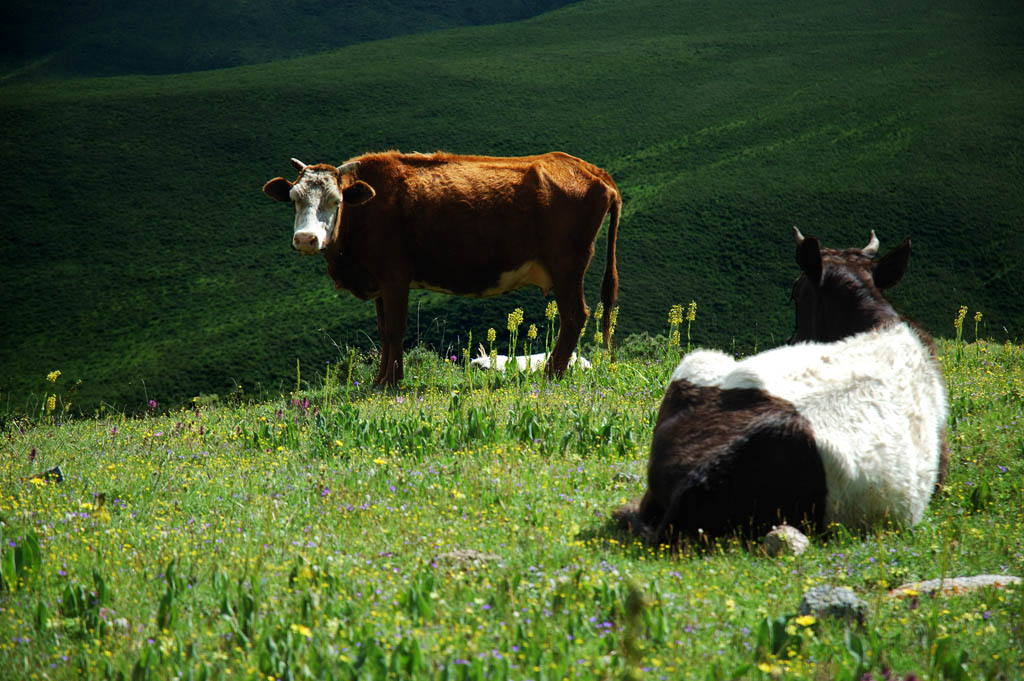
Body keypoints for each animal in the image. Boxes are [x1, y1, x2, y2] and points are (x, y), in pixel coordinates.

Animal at [260, 150, 618, 385]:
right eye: (294, 198)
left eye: (336, 201)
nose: (306, 239)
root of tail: (591, 169)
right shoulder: (379, 281)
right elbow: (383, 331)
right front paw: (379, 379)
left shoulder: (395, 276)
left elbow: (396, 329)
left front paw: (391, 382)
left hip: (567, 265)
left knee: (575, 316)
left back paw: (550, 374)